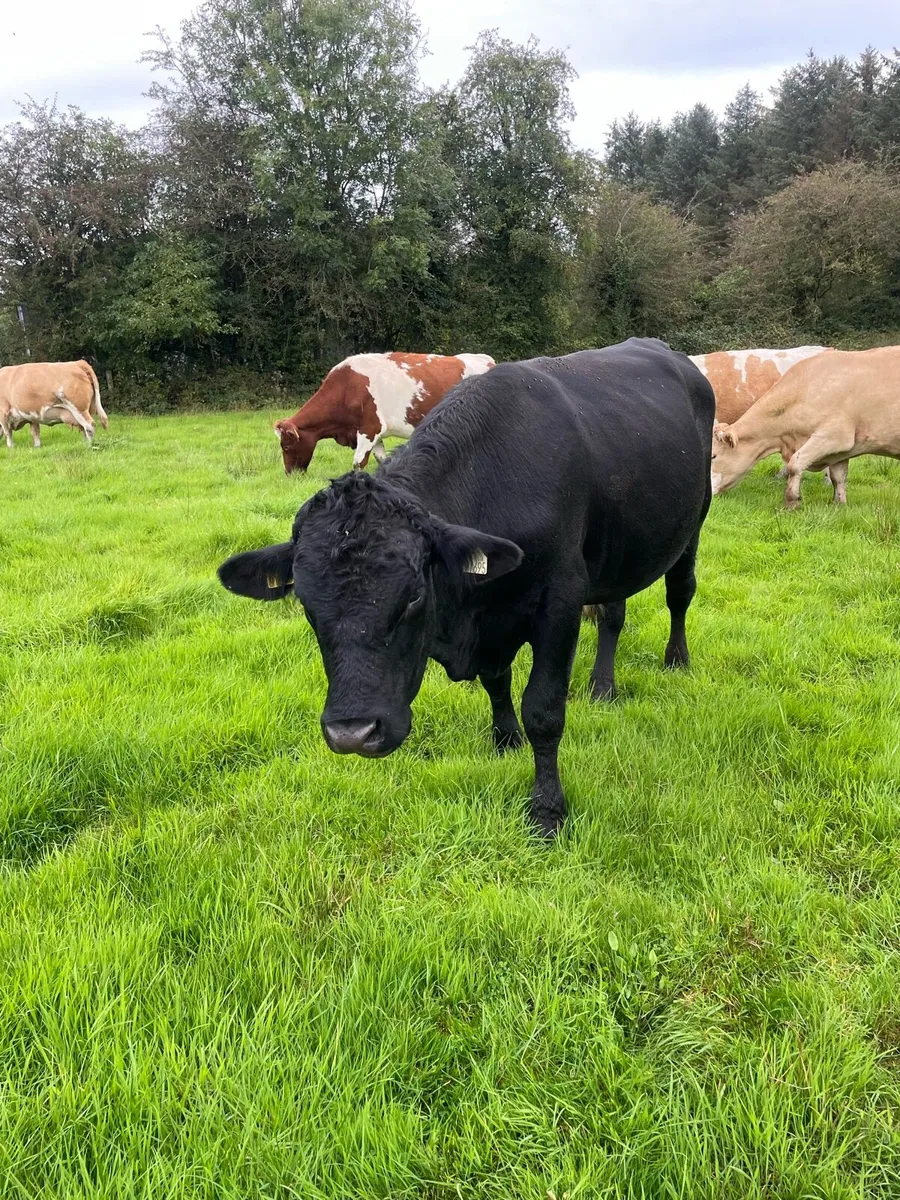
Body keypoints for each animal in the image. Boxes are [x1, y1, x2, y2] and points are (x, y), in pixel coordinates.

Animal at [274, 352, 495, 473]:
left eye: (286, 446)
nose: (290, 474)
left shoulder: (369, 428)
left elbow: (358, 463)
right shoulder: (375, 433)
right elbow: (381, 460)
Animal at [711, 345, 900, 507]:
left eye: (713, 456)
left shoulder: (834, 437)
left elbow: (795, 464)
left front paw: (792, 501)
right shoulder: (842, 450)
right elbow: (839, 477)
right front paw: (839, 504)